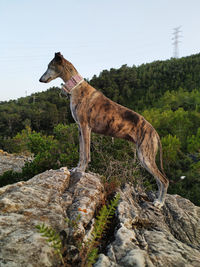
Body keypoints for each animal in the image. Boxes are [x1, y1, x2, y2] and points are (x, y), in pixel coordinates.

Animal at [39, 51, 170, 207]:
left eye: (49, 66)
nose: (40, 79)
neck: (76, 88)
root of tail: (154, 132)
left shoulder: (85, 127)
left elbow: (86, 154)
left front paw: (81, 170)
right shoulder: (80, 129)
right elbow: (81, 152)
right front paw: (76, 168)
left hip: (145, 156)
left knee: (164, 180)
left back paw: (160, 202)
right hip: (146, 156)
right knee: (159, 180)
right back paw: (158, 200)